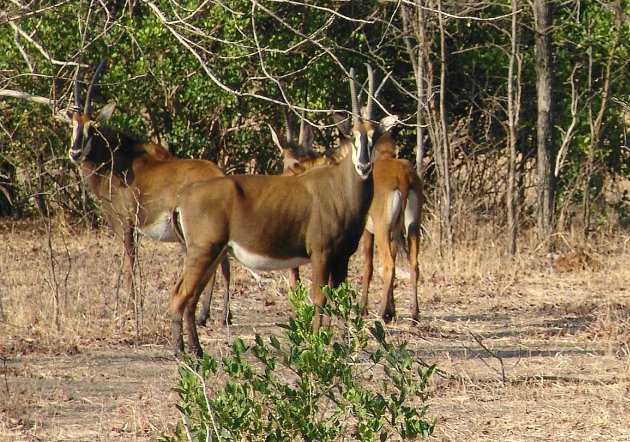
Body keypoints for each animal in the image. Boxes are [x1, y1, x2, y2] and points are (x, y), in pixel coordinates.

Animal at [69, 59, 233, 324]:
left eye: (92, 128)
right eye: (73, 124)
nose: (75, 153)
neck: (116, 161)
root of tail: (219, 174)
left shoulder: (125, 223)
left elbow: (130, 260)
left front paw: (130, 308)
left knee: (221, 264)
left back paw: (212, 315)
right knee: (224, 263)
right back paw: (215, 315)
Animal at [169, 64, 380, 356]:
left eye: (375, 137)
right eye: (353, 136)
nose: (363, 166)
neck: (339, 187)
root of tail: (183, 198)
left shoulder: (342, 258)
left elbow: (339, 301)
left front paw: (342, 347)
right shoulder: (321, 254)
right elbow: (319, 299)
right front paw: (317, 345)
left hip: (212, 253)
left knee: (188, 294)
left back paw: (196, 349)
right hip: (204, 252)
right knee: (180, 295)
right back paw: (180, 350)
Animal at [278, 70, 428, 324]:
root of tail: (404, 178)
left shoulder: (365, 231)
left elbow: (366, 267)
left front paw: (365, 309)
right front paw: (391, 310)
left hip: (382, 228)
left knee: (388, 264)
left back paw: (381, 313)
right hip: (412, 227)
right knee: (414, 264)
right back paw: (414, 314)